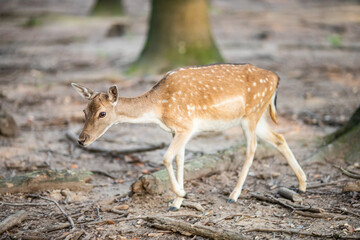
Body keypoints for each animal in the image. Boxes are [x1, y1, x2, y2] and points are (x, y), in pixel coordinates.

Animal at [71, 63, 306, 210]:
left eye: (102, 113)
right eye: (84, 111)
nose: (81, 140)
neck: (159, 109)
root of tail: (276, 77)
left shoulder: (186, 127)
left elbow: (166, 158)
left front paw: (183, 195)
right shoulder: (176, 131)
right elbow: (180, 160)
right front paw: (176, 203)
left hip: (251, 114)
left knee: (252, 148)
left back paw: (233, 196)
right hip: (258, 116)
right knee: (279, 137)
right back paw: (302, 185)